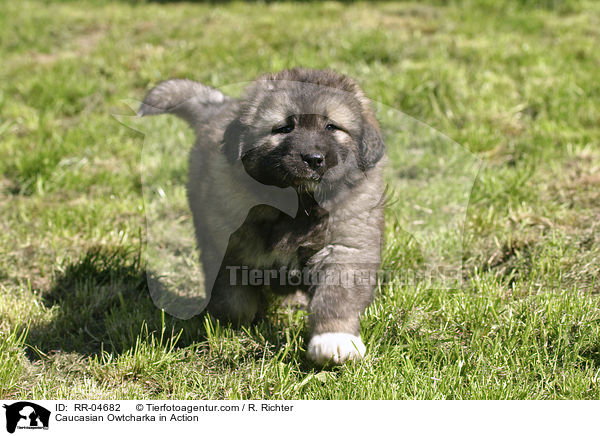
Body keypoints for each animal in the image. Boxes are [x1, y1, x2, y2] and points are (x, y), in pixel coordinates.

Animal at [139, 68, 386, 364]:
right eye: (284, 128)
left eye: (331, 127)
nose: (313, 158)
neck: (298, 205)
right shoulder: (225, 244)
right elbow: (233, 299)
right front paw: (231, 328)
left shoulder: (346, 246)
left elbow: (336, 296)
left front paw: (334, 340)